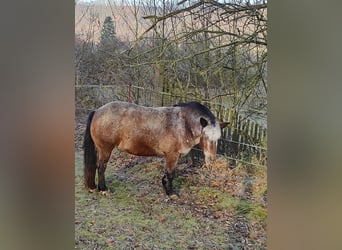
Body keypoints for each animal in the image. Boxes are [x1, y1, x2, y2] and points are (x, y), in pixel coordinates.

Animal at [82, 100, 227, 194]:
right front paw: (170, 192)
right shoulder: (172, 155)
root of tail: (97, 111)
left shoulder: (172, 156)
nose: (211, 160)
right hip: (105, 149)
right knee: (101, 167)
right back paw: (103, 189)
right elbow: (171, 174)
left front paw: (164, 185)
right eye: (206, 136)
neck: (183, 123)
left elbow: (167, 172)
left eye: (218, 139)